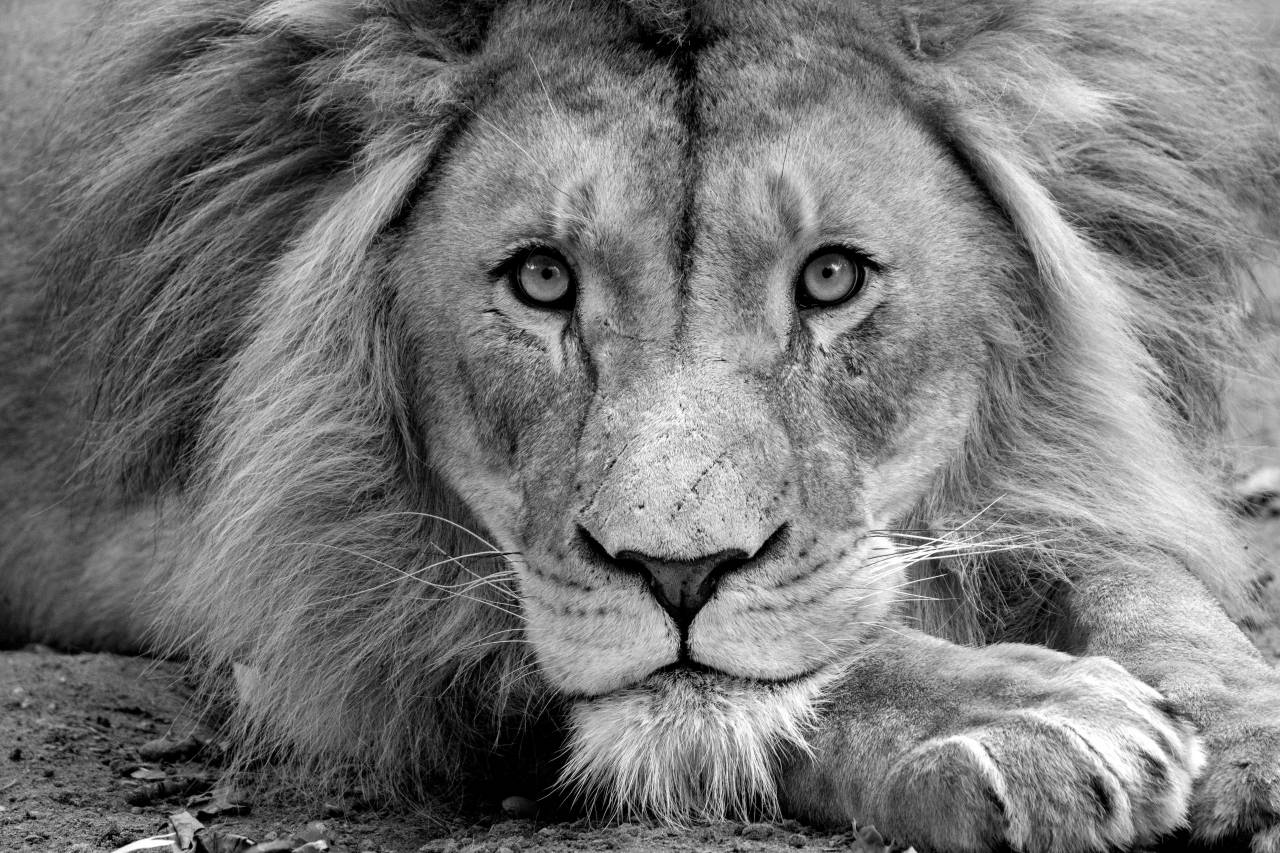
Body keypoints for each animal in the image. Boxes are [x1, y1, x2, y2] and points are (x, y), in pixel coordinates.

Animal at [2, 0, 1280, 850]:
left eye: (828, 278)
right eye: (540, 280)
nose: (678, 573)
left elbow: (1138, 578)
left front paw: (1243, 723)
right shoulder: (318, 590)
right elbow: (817, 666)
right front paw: (1026, 718)